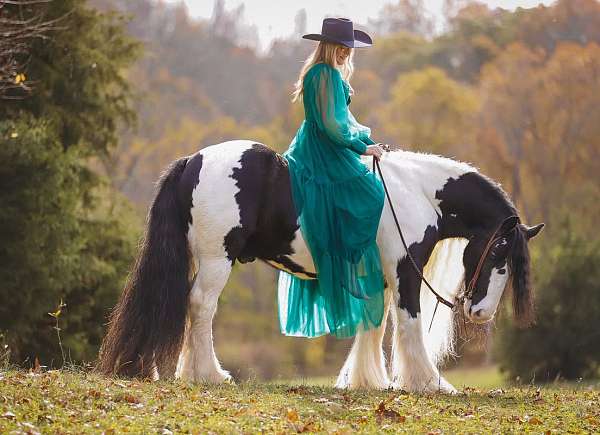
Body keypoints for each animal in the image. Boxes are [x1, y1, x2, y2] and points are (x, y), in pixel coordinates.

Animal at [97, 141, 544, 396]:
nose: (480, 312)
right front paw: (428, 383)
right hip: (215, 260)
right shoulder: (405, 272)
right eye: (499, 250)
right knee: (201, 307)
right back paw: (209, 375)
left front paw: (368, 381)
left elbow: (375, 324)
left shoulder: (379, 277)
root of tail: (194, 160)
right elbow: (408, 324)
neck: (413, 193)